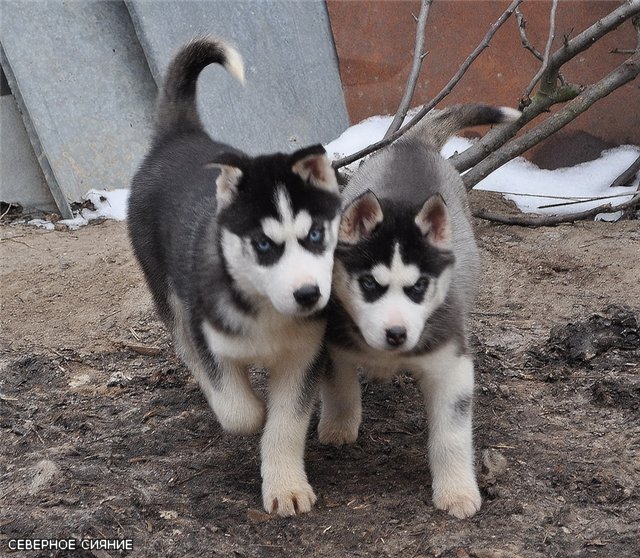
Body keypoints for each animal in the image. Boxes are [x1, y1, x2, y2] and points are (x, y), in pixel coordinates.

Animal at [127, 39, 342, 520]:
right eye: (263, 244)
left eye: (315, 235)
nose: (308, 295)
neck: (265, 309)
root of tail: (181, 136)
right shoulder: (207, 333)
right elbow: (241, 412)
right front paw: (250, 409)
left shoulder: (305, 358)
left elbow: (284, 425)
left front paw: (286, 485)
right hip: (166, 289)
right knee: (184, 346)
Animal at [320, 104, 520, 520]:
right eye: (369, 284)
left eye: (418, 288)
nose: (396, 334)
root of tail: (411, 142)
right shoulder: (331, 342)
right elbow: (340, 388)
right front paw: (338, 429)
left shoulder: (452, 367)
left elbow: (451, 437)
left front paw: (457, 492)